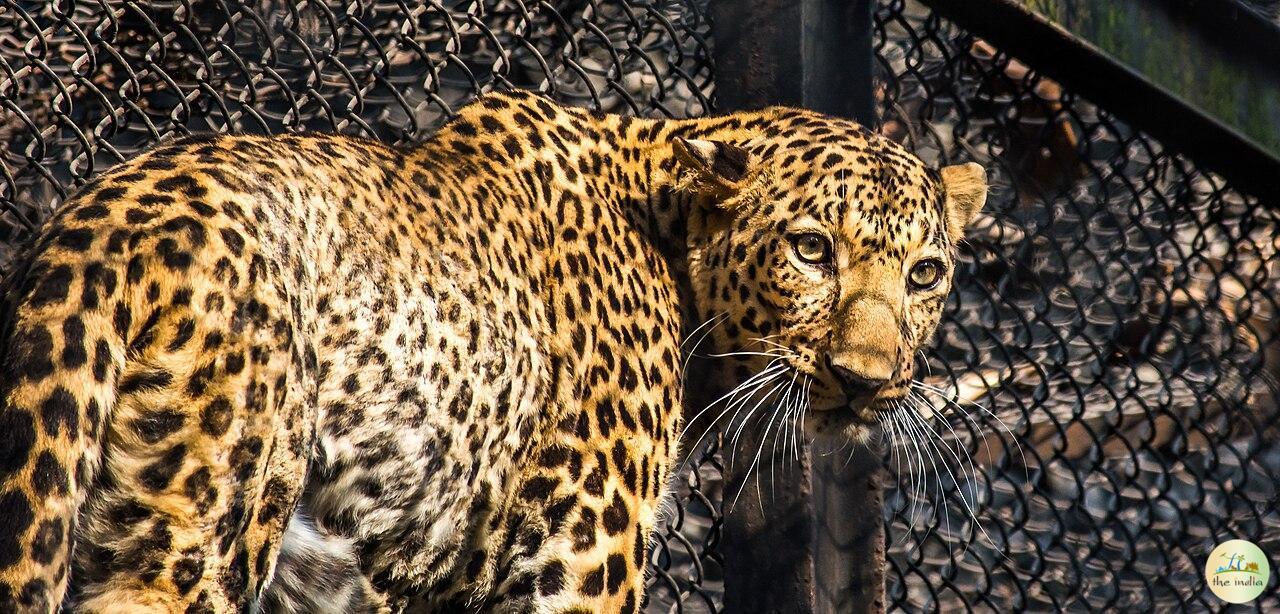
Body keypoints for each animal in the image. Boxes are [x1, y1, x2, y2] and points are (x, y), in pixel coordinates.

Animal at [0, 88, 988, 611]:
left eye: (926, 274)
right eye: (812, 250)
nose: (868, 380)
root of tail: (104, 229)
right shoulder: (578, 562)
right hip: (204, 527)